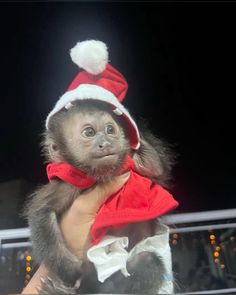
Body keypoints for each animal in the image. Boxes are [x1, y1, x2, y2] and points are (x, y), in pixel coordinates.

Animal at [24, 99, 178, 294]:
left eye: (110, 130)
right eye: (89, 132)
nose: (105, 143)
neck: (99, 175)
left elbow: (155, 168)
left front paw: (133, 131)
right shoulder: (67, 183)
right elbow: (42, 211)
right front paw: (70, 270)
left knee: (147, 261)